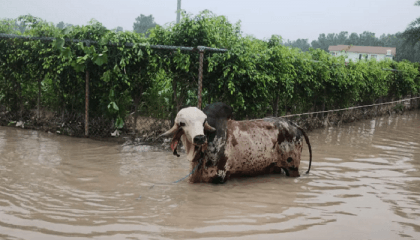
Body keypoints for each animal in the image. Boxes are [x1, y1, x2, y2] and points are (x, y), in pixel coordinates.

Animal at [161, 102, 312, 183]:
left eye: (204, 122)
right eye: (182, 123)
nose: (200, 138)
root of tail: (294, 125)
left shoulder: (219, 177)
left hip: (292, 167)